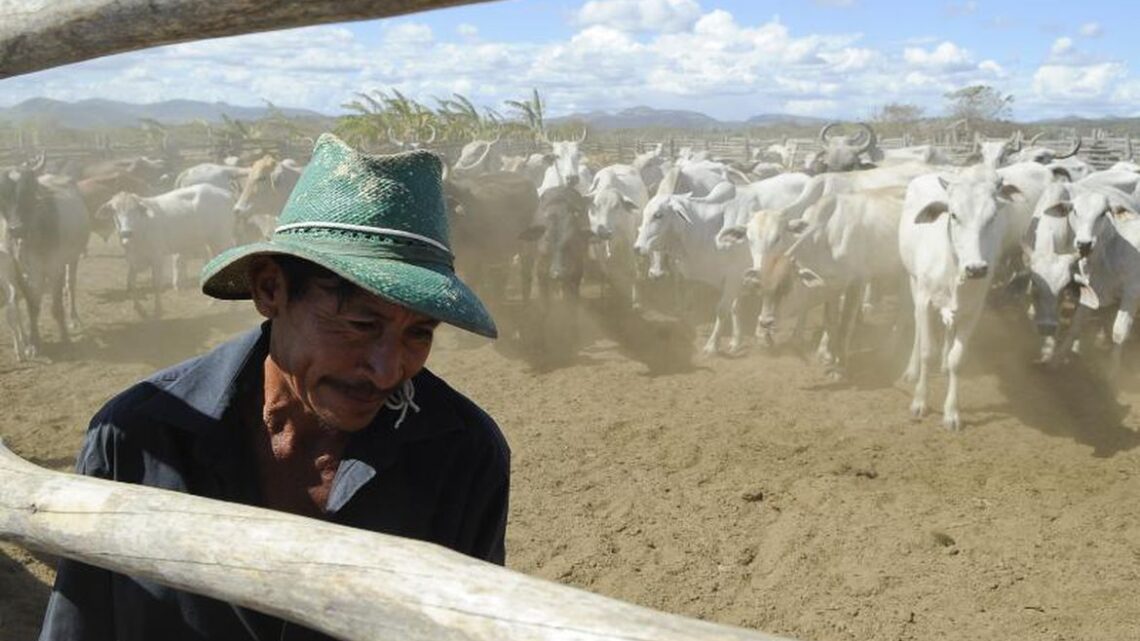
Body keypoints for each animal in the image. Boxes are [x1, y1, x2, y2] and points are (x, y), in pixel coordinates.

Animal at [898, 167, 1026, 426]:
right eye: (954, 215)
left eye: (992, 217)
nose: (976, 268)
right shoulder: (925, 300)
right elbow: (927, 351)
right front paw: (920, 401)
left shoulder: (973, 309)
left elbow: (958, 359)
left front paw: (951, 412)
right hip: (913, 281)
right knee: (918, 327)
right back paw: (912, 369)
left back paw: (944, 365)